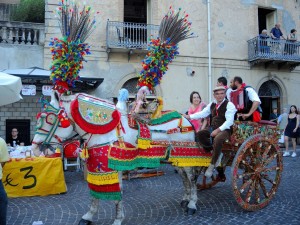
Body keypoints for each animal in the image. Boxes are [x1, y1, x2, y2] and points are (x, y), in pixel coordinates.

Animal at [31, 90, 203, 225]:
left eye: (50, 119)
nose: (34, 147)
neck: (104, 131)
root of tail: (186, 119)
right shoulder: (97, 169)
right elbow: (94, 195)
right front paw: (88, 216)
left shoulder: (114, 168)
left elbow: (116, 196)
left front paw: (118, 219)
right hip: (176, 160)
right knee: (184, 178)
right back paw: (185, 199)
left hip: (186, 158)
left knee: (191, 178)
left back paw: (192, 204)